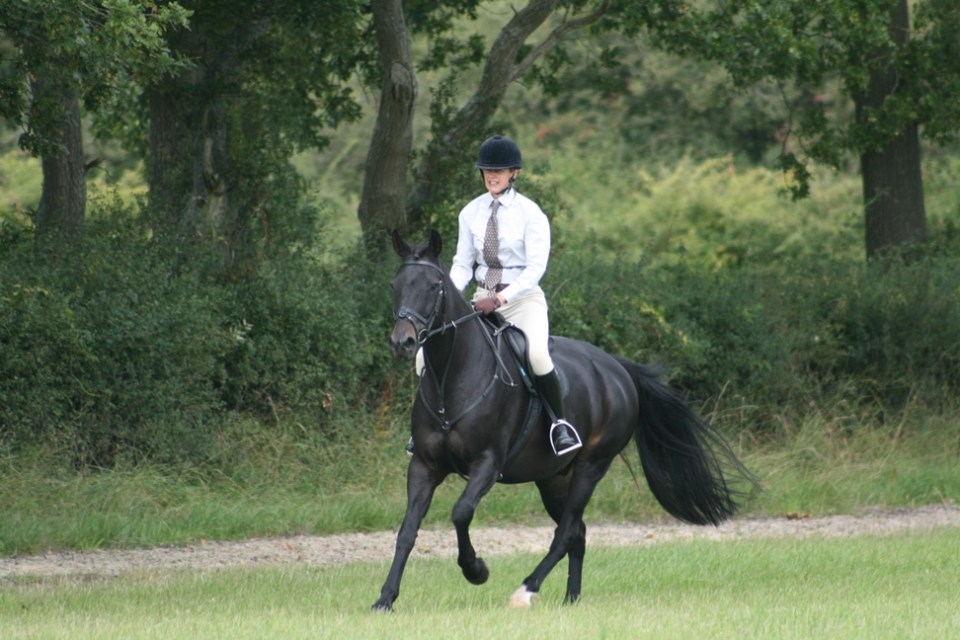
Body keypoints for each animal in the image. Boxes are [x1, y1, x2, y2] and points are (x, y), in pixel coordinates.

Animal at [373, 229, 756, 612]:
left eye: (433, 286)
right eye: (394, 284)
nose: (402, 342)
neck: (452, 377)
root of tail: (619, 370)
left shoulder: (487, 463)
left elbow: (461, 512)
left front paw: (476, 570)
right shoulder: (424, 465)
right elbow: (407, 531)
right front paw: (385, 598)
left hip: (590, 466)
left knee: (567, 531)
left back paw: (526, 590)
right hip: (553, 477)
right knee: (577, 532)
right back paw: (571, 598)